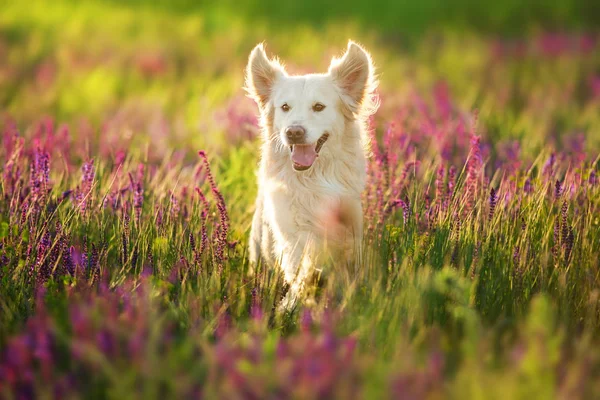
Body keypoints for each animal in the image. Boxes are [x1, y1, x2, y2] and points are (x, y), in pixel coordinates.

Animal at [245, 39, 378, 304]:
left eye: (318, 107)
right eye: (285, 107)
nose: (293, 132)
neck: (313, 179)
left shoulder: (350, 229)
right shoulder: (293, 232)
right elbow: (304, 261)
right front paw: (296, 299)